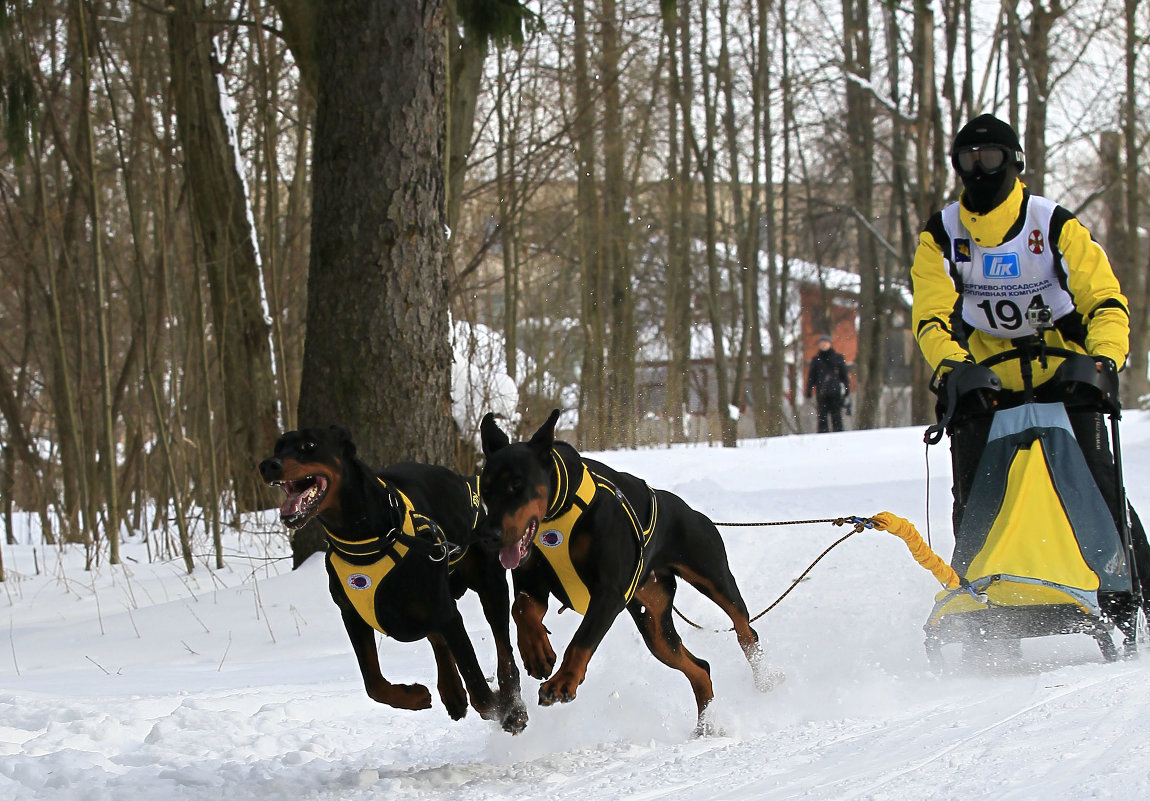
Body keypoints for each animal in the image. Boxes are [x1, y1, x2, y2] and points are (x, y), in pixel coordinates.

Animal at [258, 425, 526, 730]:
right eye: (278, 447)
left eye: (309, 445)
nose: (267, 465)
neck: (366, 538)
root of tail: (467, 481)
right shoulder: (351, 613)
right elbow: (373, 683)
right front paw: (414, 695)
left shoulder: (446, 613)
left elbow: (479, 688)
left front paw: (502, 709)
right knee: (437, 639)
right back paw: (453, 693)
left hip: (488, 583)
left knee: (503, 648)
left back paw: (512, 704)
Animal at [476, 409, 782, 735]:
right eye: (486, 489)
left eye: (516, 484)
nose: (487, 535)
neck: (559, 511)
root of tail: (691, 511)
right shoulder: (532, 581)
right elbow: (520, 608)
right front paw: (537, 653)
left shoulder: (608, 593)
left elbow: (582, 639)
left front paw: (562, 682)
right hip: (654, 623)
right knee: (699, 666)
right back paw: (706, 726)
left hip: (712, 575)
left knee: (743, 626)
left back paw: (763, 676)